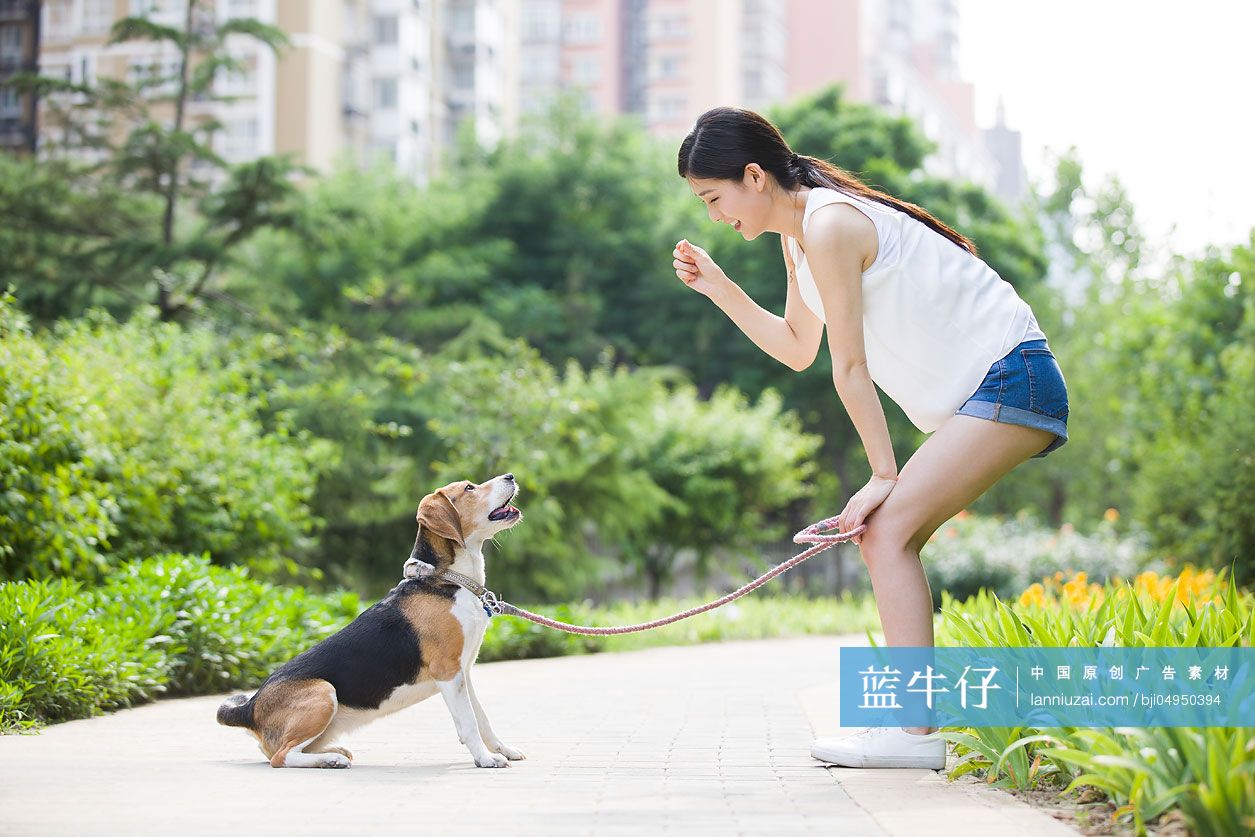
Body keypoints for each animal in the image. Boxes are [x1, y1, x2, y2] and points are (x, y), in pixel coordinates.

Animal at [218, 474, 522, 767]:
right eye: (469, 488)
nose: (510, 476)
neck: (447, 579)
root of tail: (250, 707)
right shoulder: (448, 671)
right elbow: (469, 723)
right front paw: (485, 759)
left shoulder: (463, 672)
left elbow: (482, 719)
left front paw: (503, 750)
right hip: (324, 691)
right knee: (281, 757)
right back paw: (332, 760)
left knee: (280, 751)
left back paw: (333, 753)